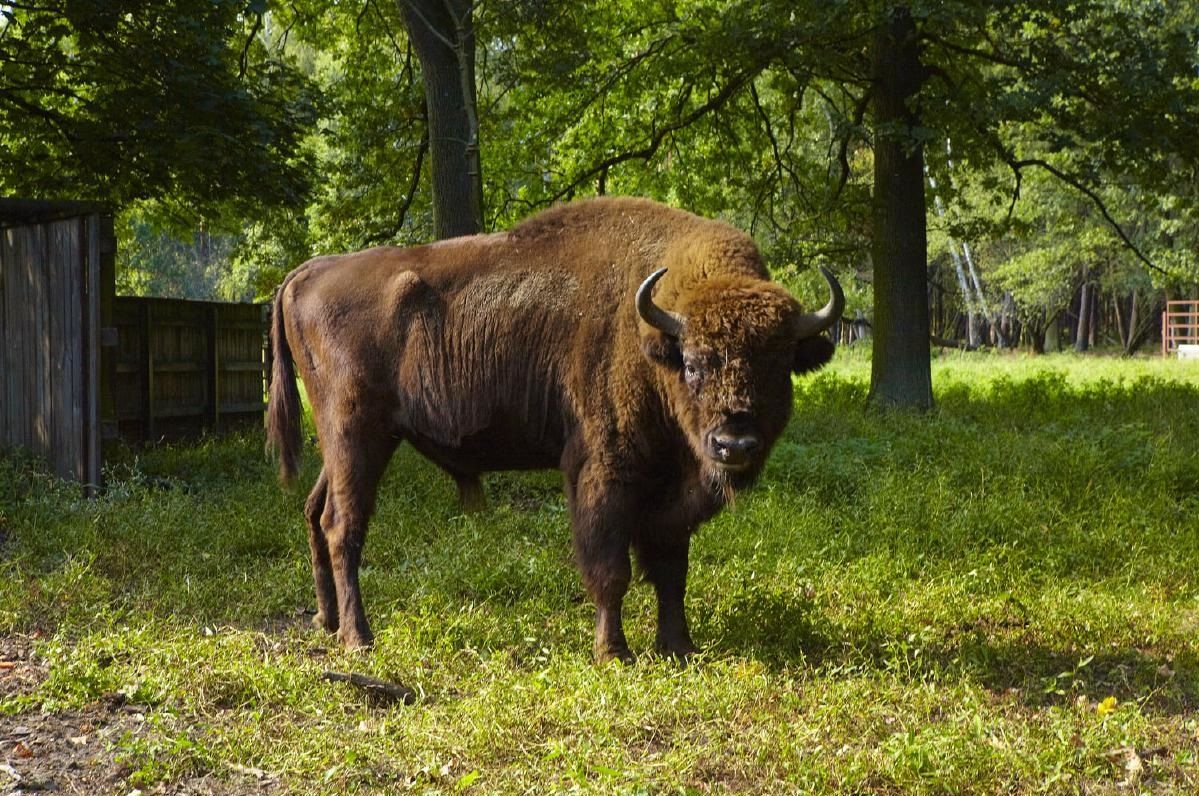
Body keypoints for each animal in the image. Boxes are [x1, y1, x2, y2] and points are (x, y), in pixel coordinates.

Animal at [267, 197, 842, 661]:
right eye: (696, 364)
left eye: (780, 365)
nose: (733, 444)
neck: (655, 339)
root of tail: (308, 272)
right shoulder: (603, 473)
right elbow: (611, 569)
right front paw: (614, 653)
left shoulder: (669, 490)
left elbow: (671, 567)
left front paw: (679, 646)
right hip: (358, 435)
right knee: (344, 525)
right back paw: (359, 638)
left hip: (345, 446)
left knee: (315, 512)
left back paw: (326, 620)